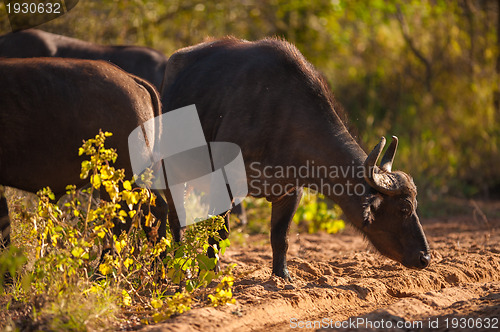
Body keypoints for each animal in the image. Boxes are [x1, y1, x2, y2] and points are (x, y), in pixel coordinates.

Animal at [160, 36, 430, 280]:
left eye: (415, 206)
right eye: (404, 209)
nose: (425, 257)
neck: (282, 117)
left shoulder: (290, 192)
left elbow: (280, 237)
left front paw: (282, 276)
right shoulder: (224, 183)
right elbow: (218, 234)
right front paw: (211, 273)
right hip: (170, 173)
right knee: (176, 222)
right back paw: (179, 269)